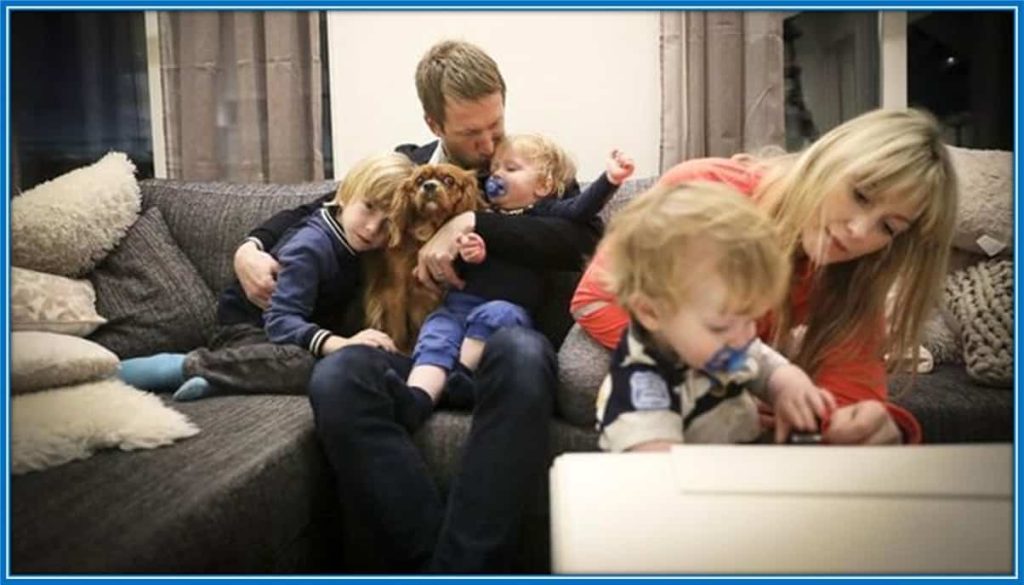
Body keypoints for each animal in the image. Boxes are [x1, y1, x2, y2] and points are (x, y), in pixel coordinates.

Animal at [364, 162, 483, 354]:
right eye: (419, 180)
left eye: (449, 180)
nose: (429, 186)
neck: (430, 232)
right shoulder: (395, 292)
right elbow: (398, 329)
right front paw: (400, 350)